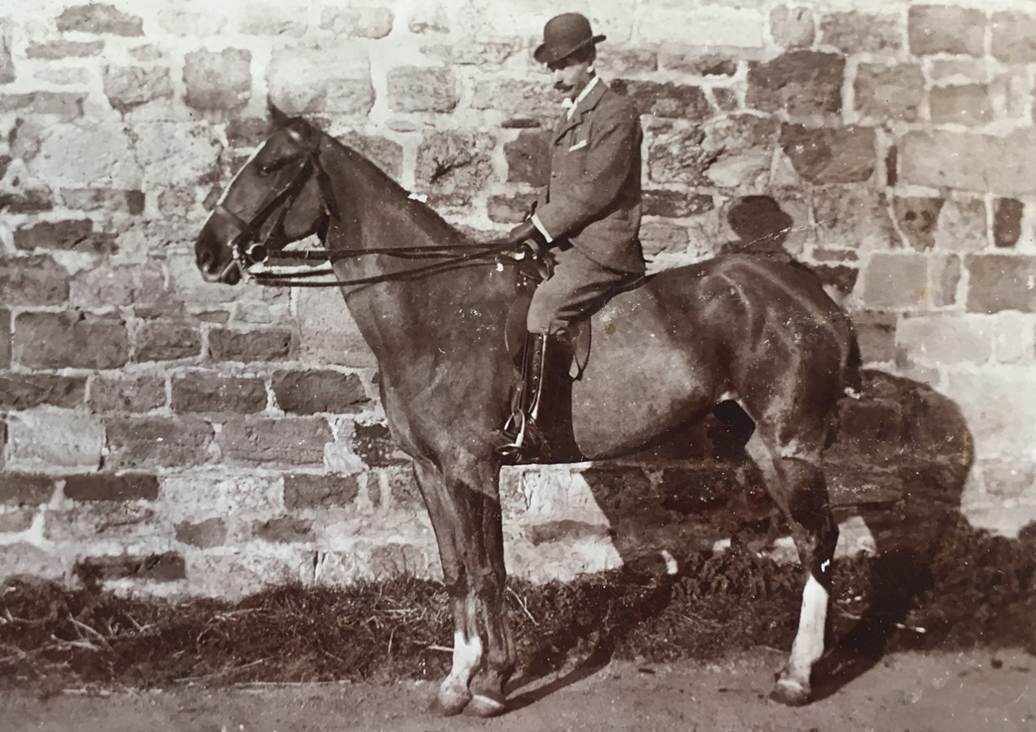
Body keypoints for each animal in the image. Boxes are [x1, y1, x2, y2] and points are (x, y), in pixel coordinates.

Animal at [194, 106, 861, 716]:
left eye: (273, 164)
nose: (207, 252)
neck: (434, 305)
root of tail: (810, 295)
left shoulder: (473, 465)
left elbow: (490, 570)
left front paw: (492, 682)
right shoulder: (430, 470)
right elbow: (457, 570)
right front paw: (456, 681)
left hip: (792, 445)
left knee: (820, 539)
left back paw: (798, 675)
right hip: (762, 445)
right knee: (810, 539)